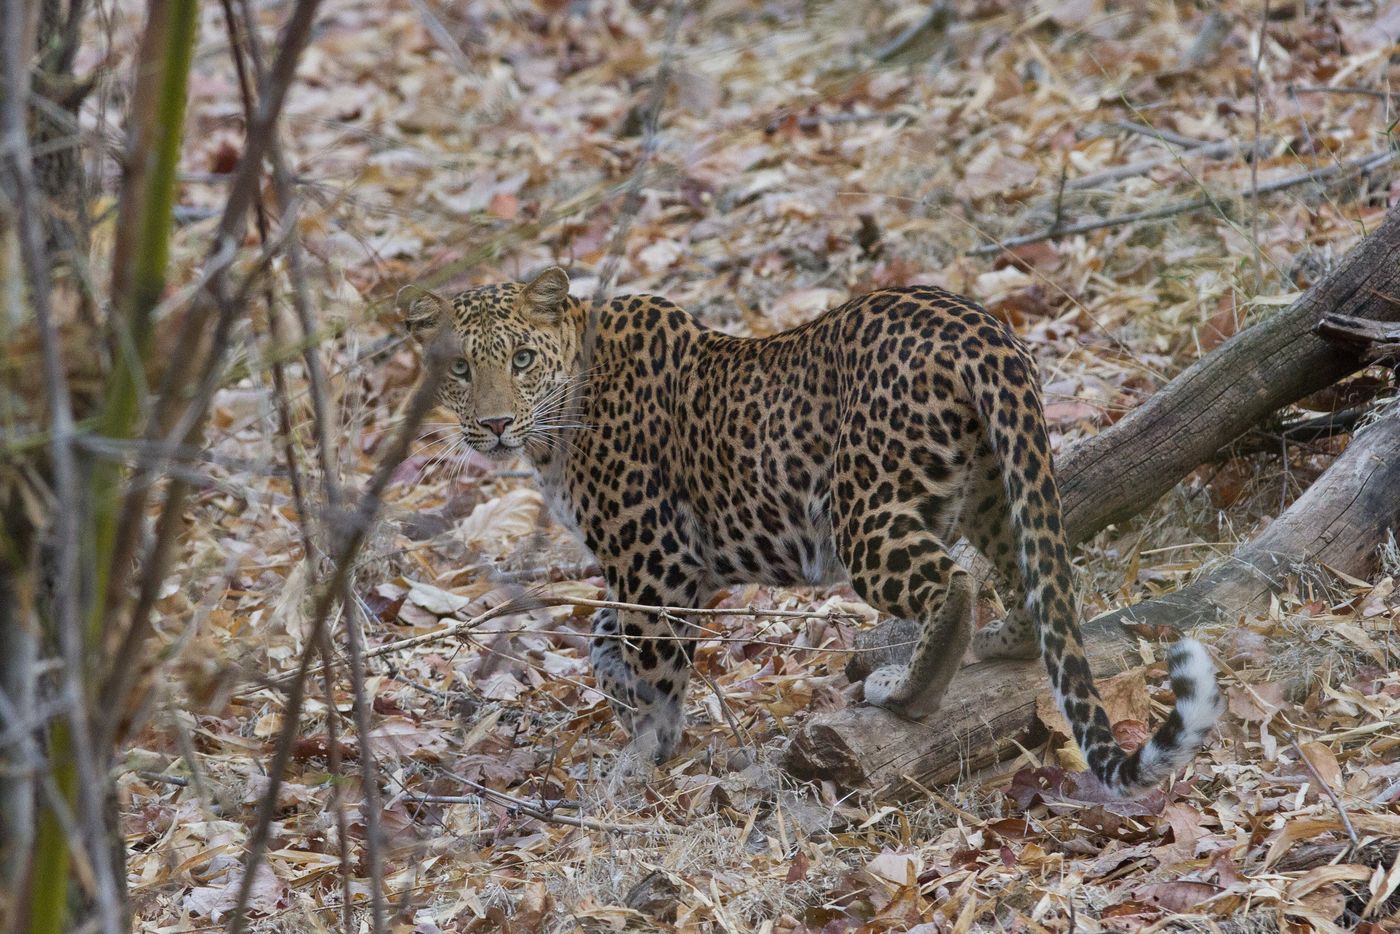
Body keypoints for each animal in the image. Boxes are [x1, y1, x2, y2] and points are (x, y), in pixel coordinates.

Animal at [400, 264, 1220, 795]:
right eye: (460, 370)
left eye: (520, 358)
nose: (493, 425)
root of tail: (980, 327)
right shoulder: (659, 564)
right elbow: (606, 633)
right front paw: (623, 696)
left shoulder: (655, 556)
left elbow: (655, 656)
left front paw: (643, 753)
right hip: (995, 479)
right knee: (1037, 577)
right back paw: (1001, 643)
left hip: (864, 509)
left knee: (952, 583)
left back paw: (904, 691)